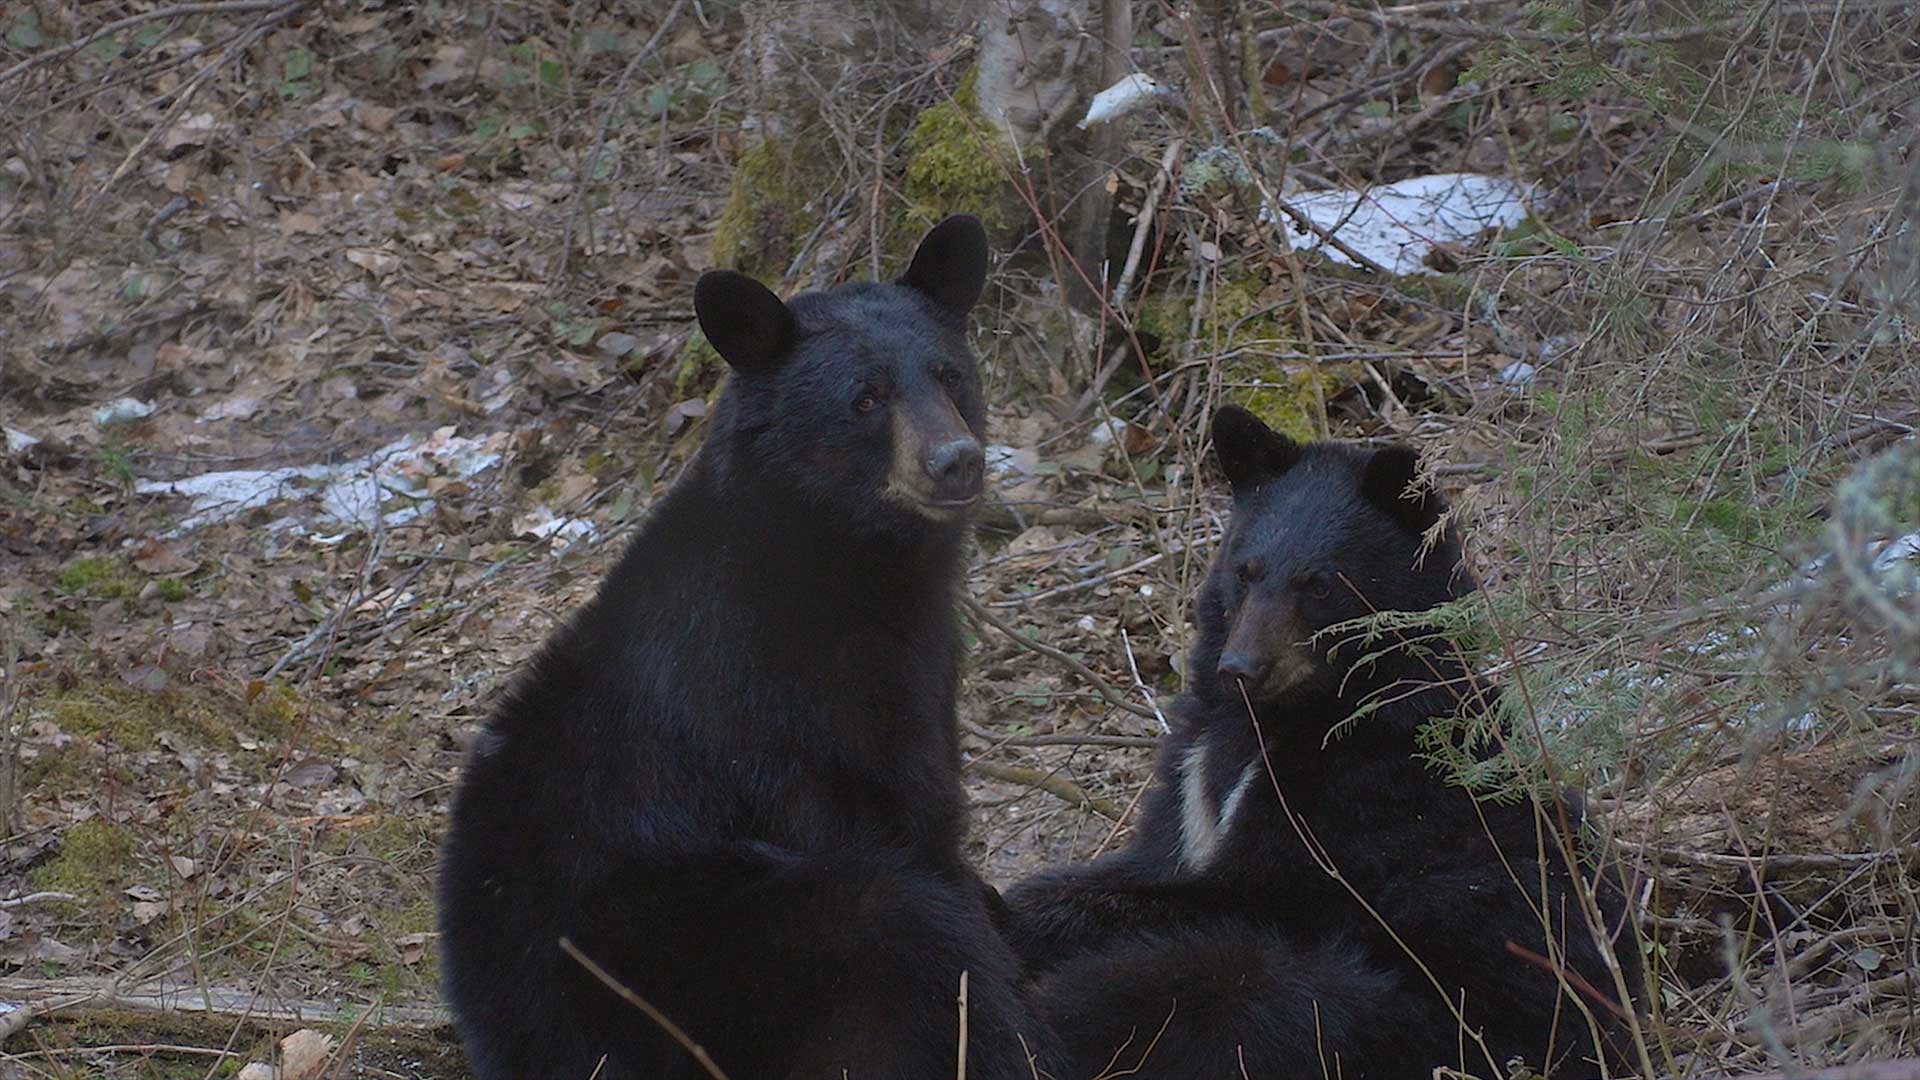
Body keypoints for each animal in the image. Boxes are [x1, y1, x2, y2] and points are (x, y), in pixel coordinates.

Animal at [438, 216, 1065, 1080]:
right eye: (865, 397)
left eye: (950, 376)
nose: (956, 460)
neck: (845, 569)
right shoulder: (775, 709)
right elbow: (896, 817)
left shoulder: (921, 666)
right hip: (748, 944)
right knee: (907, 931)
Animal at [1001, 406, 1645, 1079]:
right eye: (1245, 571)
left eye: (1317, 584)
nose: (1241, 668)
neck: (1290, 716)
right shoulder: (1190, 768)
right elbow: (1150, 856)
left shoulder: (1366, 792)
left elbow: (1252, 893)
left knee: (1220, 983)